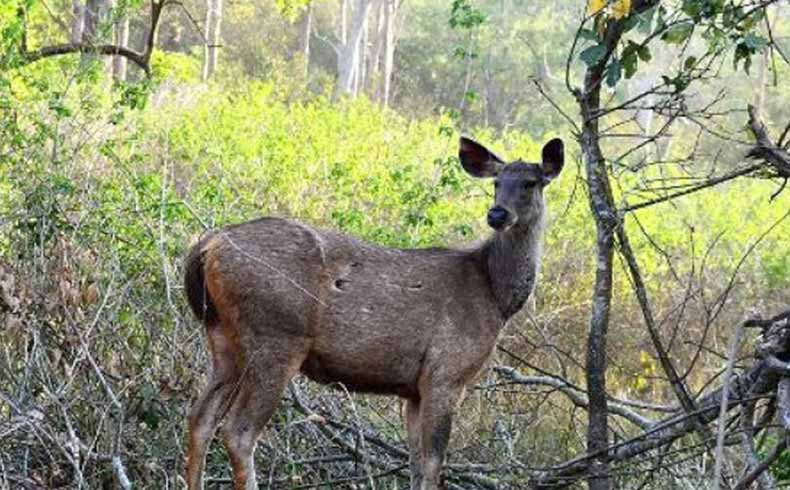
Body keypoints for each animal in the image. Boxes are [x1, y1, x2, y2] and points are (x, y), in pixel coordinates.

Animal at [186, 137, 568, 490]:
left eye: (530, 182)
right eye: (497, 182)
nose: (497, 214)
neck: (496, 296)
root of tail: (208, 245)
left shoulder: (413, 389)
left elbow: (417, 466)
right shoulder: (446, 374)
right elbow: (433, 464)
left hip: (223, 337)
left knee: (200, 418)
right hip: (275, 337)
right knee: (238, 431)